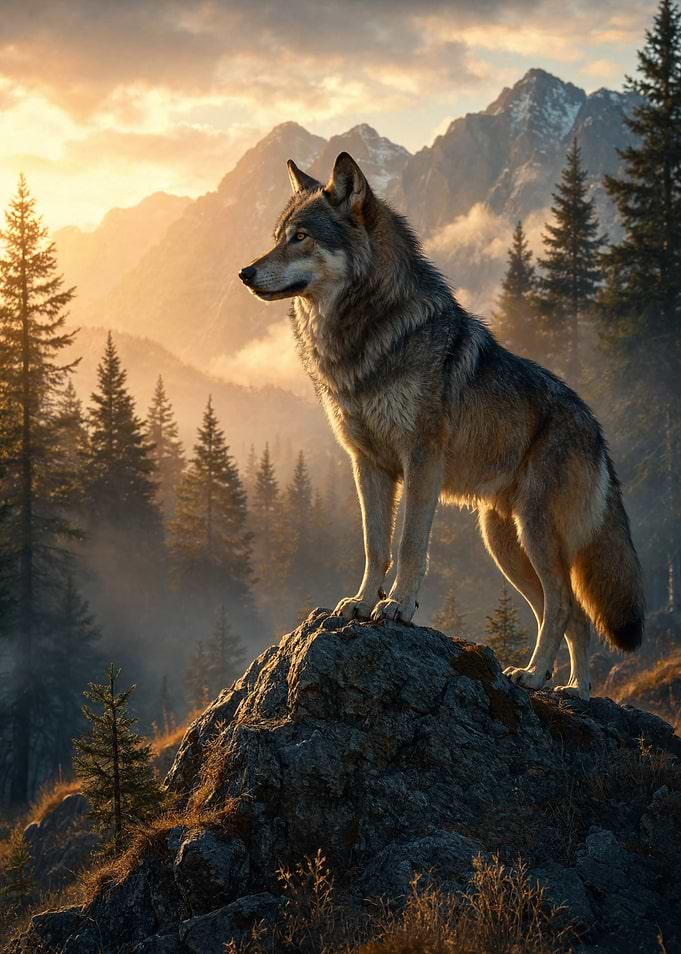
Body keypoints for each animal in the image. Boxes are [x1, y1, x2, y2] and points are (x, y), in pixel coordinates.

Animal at [238, 152, 645, 700]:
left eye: (300, 237)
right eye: (278, 235)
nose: (245, 272)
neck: (367, 334)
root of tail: (598, 431)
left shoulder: (421, 461)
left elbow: (409, 545)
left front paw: (399, 607)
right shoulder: (367, 465)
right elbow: (374, 545)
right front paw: (362, 602)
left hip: (533, 532)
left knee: (562, 604)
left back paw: (536, 675)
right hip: (503, 542)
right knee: (569, 613)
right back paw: (571, 689)